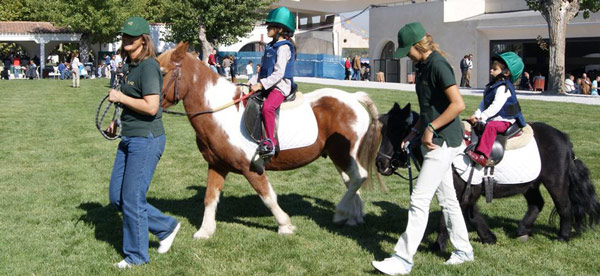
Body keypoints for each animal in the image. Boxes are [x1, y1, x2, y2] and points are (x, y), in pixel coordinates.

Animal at [155, 43, 380, 239]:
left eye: (163, 73)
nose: (148, 107)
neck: (221, 113)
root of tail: (353, 98)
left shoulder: (251, 168)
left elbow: (268, 196)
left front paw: (285, 225)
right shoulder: (217, 165)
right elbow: (210, 197)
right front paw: (205, 231)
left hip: (344, 154)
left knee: (359, 177)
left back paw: (342, 213)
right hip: (339, 155)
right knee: (351, 180)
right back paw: (353, 217)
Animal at [380, 102, 600, 249]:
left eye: (398, 129)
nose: (380, 163)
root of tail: (564, 138)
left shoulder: (460, 190)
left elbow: (448, 216)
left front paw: (438, 245)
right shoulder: (469, 191)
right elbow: (472, 214)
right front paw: (488, 237)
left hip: (555, 182)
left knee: (564, 206)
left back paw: (563, 236)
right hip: (530, 184)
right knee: (537, 203)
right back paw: (522, 231)